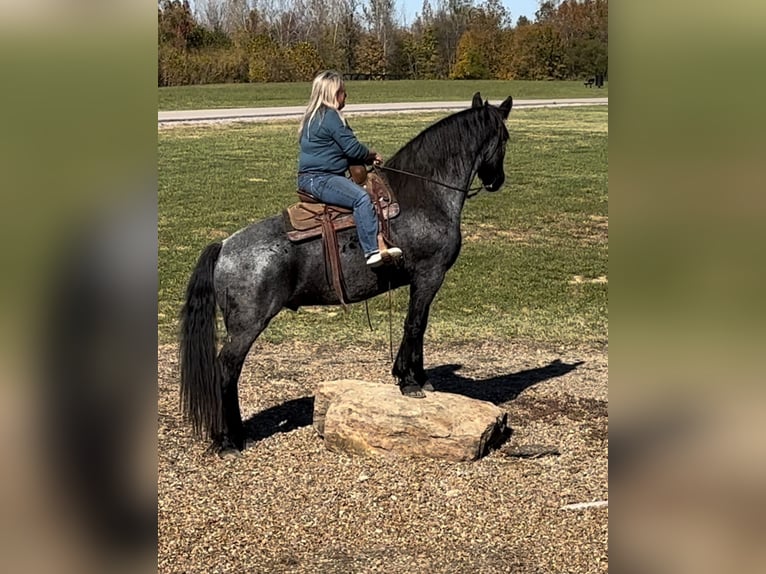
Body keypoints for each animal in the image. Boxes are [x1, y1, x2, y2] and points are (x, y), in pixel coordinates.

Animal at [181, 93, 516, 454]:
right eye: (504, 138)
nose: (497, 180)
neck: (426, 195)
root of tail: (224, 246)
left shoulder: (421, 280)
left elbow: (414, 326)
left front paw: (410, 377)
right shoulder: (429, 276)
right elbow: (416, 325)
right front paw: (412, 382)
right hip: (247, 326)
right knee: (227, 370)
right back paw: (232, 439)